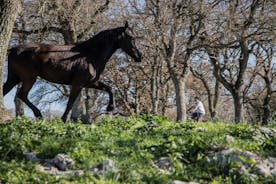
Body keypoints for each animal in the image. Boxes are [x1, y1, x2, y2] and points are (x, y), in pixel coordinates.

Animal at [3, 21, 142, 121]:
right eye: (131, 37)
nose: (139, 56)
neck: (89, 55)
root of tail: (14, 49)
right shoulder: (78, 84)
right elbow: (70, 103)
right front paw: (63, 120)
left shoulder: (90, 83)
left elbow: (109, 88)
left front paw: (111, 108)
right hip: (29, 78)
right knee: (22, 95)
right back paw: (39, 115)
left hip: (14, 78)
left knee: (7, 91)